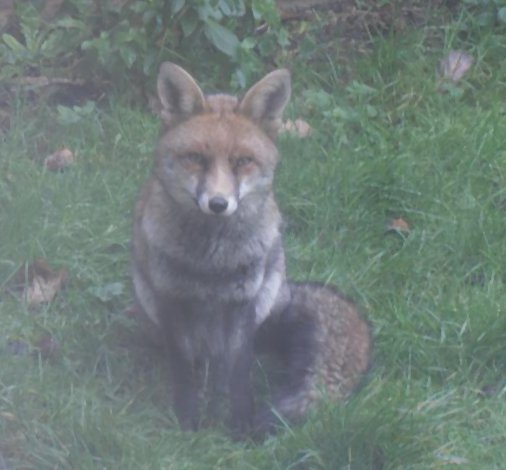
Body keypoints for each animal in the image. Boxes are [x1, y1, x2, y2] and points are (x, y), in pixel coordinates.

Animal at [132, 61, 374, 436]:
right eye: (195, 159)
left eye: (242, 161)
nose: (218, 203)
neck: (211, 264)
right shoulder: (171, 300)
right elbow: (184, 372)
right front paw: (188, 421)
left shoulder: (242, 303)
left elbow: (239, 372)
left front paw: (242, 424)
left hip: (266, 293)